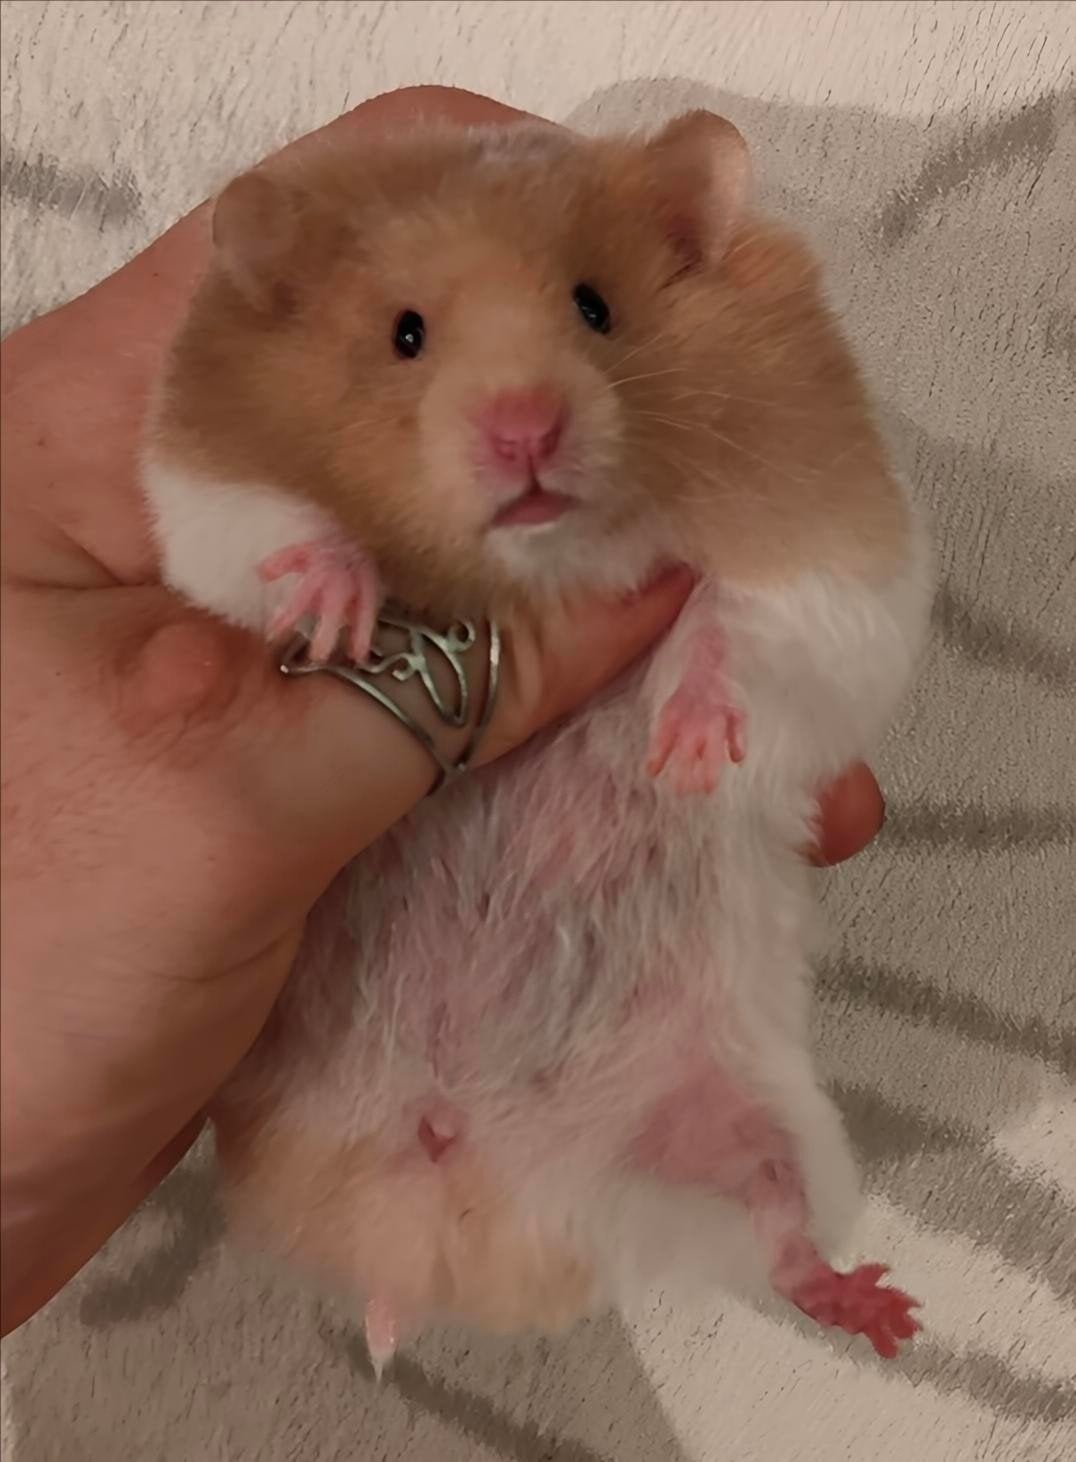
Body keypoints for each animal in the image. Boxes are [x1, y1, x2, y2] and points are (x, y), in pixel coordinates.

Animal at [144, 111, 932, 1370]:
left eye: (595, 306)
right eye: (404, 334)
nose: (524, 431)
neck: (547, 563)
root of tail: (490, 1215)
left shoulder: (841, 551)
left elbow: (741, 621)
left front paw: (688, 750)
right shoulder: (202, 481)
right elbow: (265, 532)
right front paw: (336, 602)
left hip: (756, 1118)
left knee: (777, 1227)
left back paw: (877, 1312)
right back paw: (387, 1326)